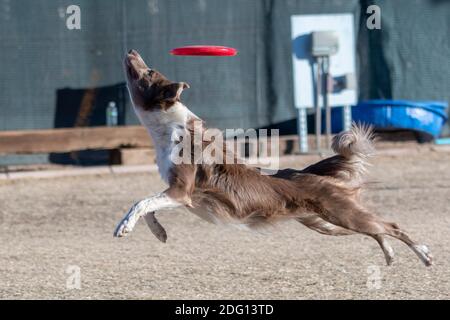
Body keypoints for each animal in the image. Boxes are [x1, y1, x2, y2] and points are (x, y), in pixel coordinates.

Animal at [115, 48, 432, 266]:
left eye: (149, 72)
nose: (131, 51)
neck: (170, 128)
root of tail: (307, 174)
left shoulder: (182, 191)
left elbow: (141, 202)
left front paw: (123, 226)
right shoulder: (174, 192)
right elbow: (149, 205)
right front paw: (159, 233)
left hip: (341, 214)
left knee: (391, 226)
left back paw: (424, 254)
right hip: (324, 222)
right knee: (378, 230)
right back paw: (390, 254)